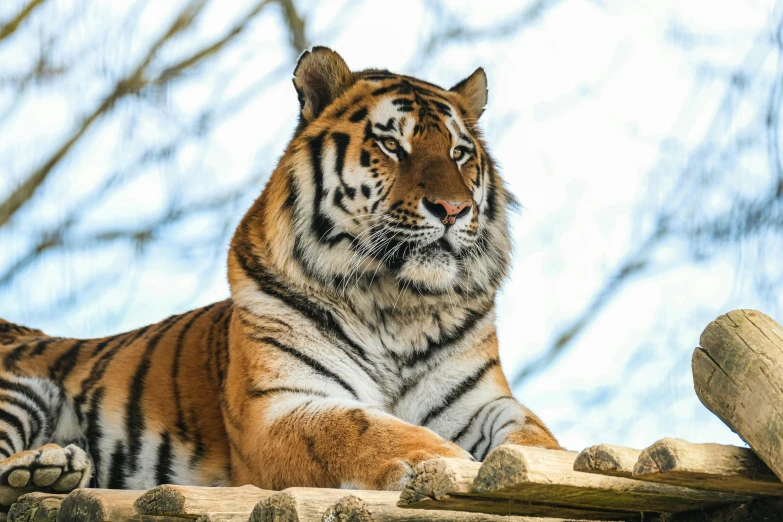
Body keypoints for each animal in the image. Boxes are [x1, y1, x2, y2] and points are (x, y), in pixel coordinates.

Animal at [0, 47, 556, 504]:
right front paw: (439, 460)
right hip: (24, 391)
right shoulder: (276, 406)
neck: (395, 304)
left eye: (459, 153)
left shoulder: (481, 402)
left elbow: (534, 439)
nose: (454, 209)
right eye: (392, 146)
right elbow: (358, 426)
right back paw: (44, 466)